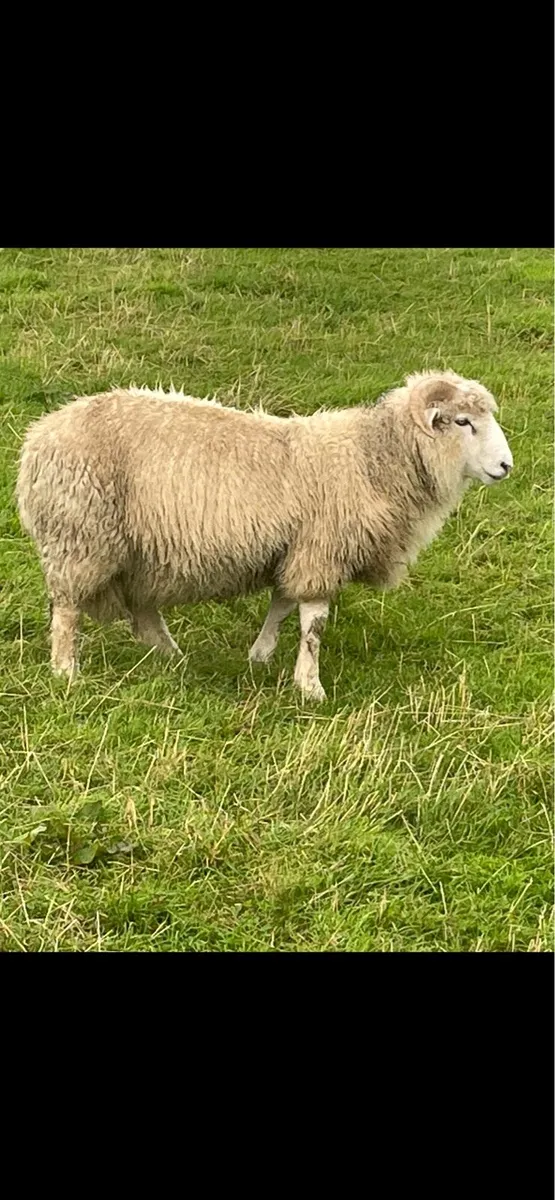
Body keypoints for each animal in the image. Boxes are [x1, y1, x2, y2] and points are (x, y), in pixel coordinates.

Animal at [16, 370, 513, 700]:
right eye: (463, 422)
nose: (507, 466)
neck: (372, 458)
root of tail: (39, 435)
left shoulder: (295, 548)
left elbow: (282, 604)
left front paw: (260, 655)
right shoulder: (320, 549)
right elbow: (313, 623)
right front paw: (310, 687)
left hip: (139, 550)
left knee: (142, 612)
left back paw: (172, 657)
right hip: (80, 537)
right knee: (66, 610)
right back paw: (66, 670)